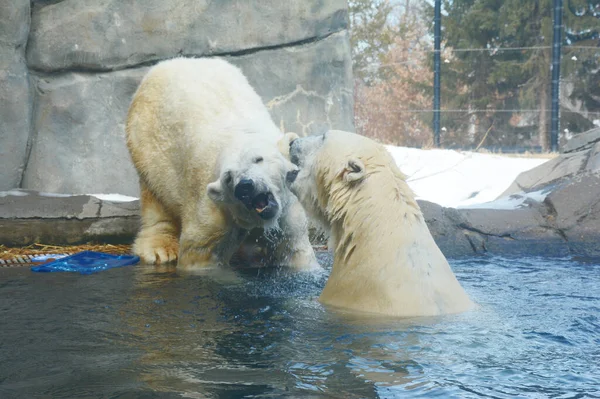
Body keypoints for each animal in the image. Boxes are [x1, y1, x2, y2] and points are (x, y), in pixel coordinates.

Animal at [126, 57, 318, 272]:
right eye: (228, 177)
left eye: (258, 159)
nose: (245, 186)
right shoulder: (213, 210)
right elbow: (200, 253)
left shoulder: (287, 210)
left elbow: (294, 249)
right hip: (148, 146)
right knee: (156, 200)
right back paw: (160, 249)